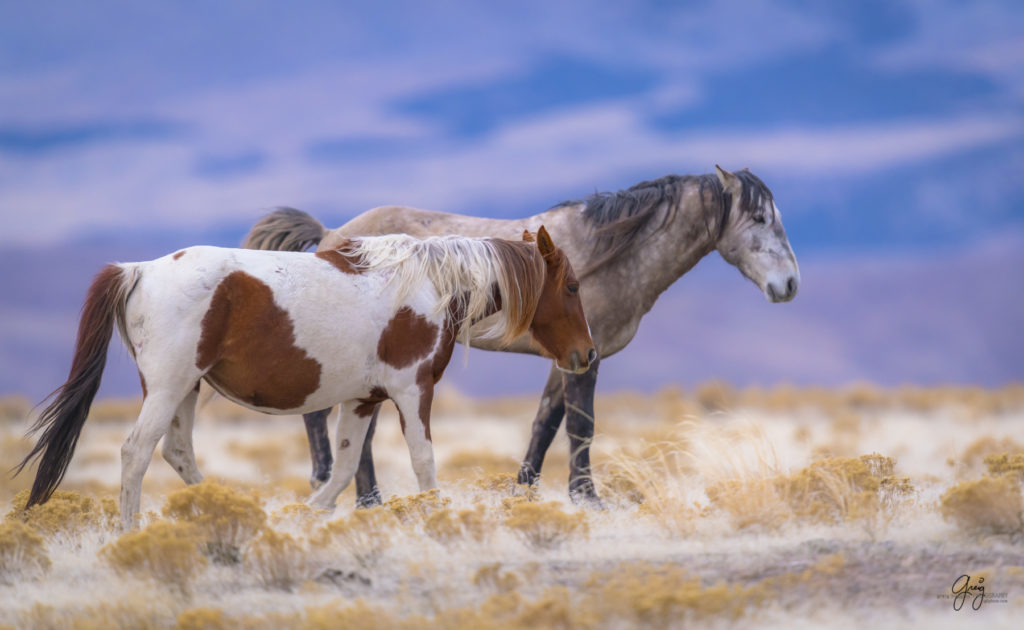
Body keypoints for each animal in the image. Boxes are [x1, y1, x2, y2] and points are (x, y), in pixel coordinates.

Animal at [16, 226, 593, 528]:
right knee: (136, 453)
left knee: (177, 452)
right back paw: (130, 530)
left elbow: (343, 469)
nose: (587, 354)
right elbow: (423, 463)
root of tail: (138, 269)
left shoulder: (364, 401)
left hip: (184, 389)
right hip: (167, 388)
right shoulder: (412, 391)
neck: (431, 285)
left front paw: (304, 516)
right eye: (570, 286)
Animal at [241, 165, 798, 508]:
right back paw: (354, 494)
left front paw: (523, 491)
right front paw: (587, 497)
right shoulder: (588, 360)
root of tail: (332, 236)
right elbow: (581, 425)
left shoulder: (571, 357)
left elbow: (545, 425)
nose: (789, 285)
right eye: (758, 217)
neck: (604, 253)